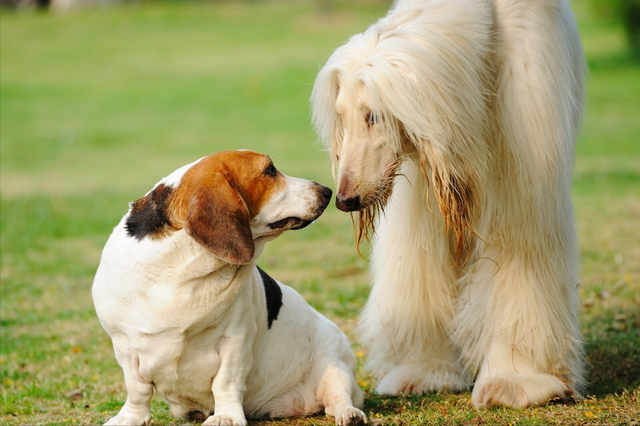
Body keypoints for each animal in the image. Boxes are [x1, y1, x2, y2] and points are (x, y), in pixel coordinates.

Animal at [92, 151, 368, 426]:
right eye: (269, 170)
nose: (327, 191)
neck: (183, 265)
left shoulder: (235, 339)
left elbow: (225, 382)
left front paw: (226, 416)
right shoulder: (124, 346)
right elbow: (137, 389)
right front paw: (130, 418)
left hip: (334, 366)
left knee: (339, 399)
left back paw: (350, 414)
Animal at [312, 0, 588, 406]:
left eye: (373, 115)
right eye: (342, 116)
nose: (346, 199)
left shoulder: (524, 143)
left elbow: (519, 247)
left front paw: (517, 380)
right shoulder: (426, 169)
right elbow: (419, 256)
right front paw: (423, 371)